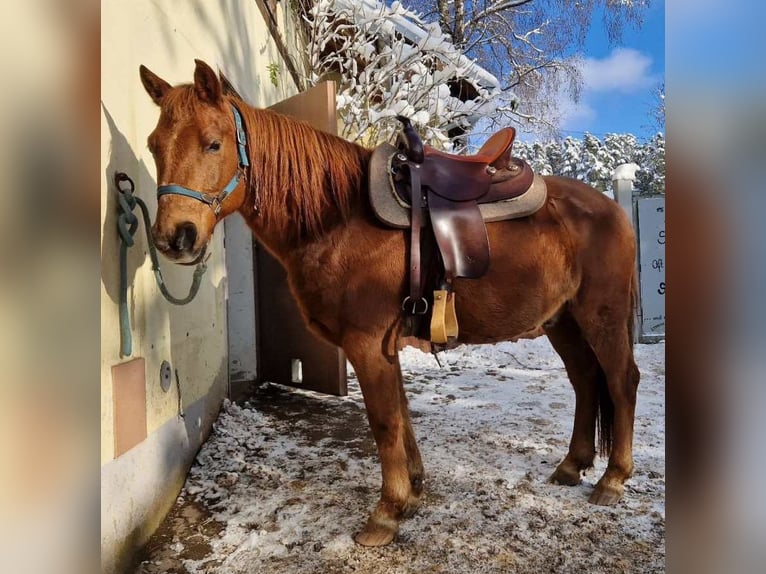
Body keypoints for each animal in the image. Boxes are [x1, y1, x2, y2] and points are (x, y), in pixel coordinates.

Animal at [140, 60, 640, 548]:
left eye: (213, 143)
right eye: (153, 146)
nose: (175, 238)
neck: (338, 218)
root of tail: (612, 209)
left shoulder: (366, 344)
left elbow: (383, 423)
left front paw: (385, 514)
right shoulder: (386, 345)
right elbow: (401, 416)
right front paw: (413, 493)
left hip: (602, 318)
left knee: (621, 382)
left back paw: (613, 480)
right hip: (563, 323)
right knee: (585, 382)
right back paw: (572, 466)